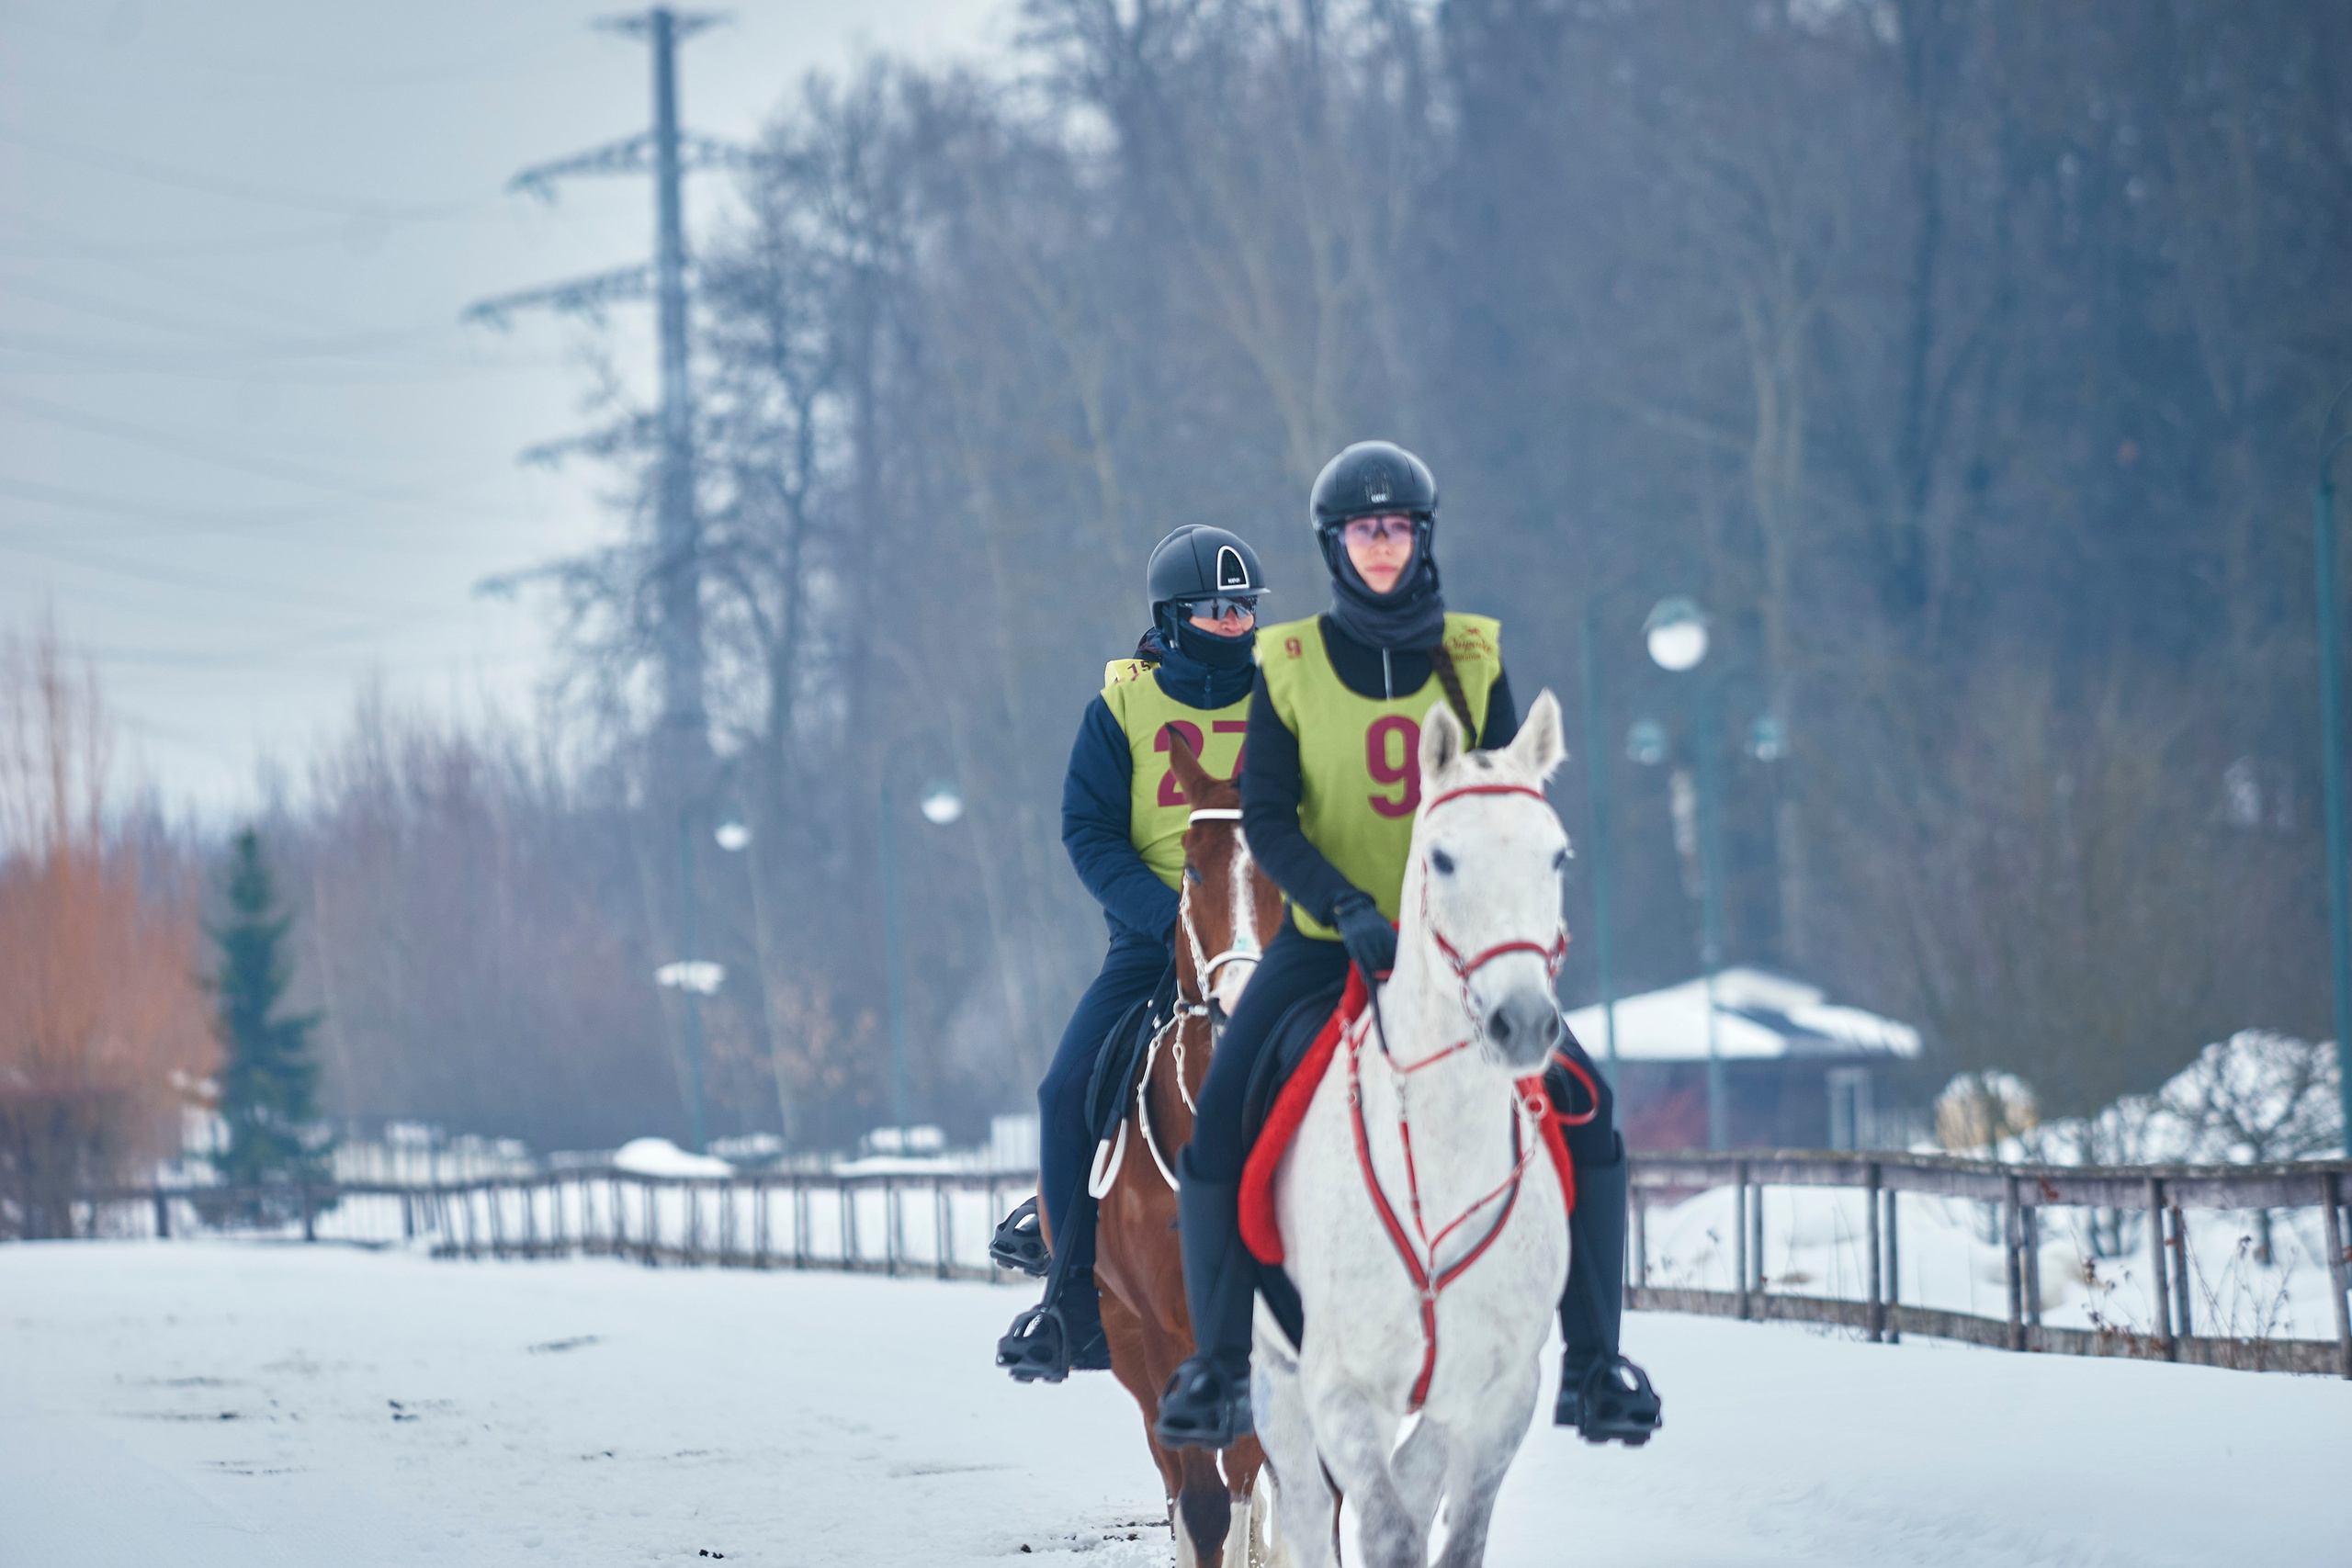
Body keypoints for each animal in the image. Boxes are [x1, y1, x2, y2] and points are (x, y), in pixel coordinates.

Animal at [1249, 690, 1575, 1568]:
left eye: (1558, 856)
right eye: (1443, 858)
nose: (1522, 1022)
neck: (1442, 1155)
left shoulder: (1499, 1393)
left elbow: (1448, 1526)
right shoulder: (1340, 1387)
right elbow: (1388, 1531)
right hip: (1274, 1379)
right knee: (1301, 1511)